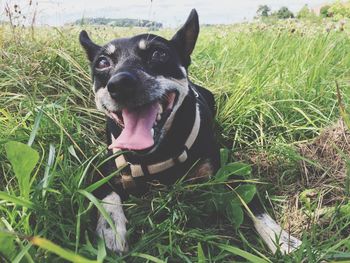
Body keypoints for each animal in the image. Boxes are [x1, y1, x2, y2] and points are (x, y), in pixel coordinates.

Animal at [78, 8, 300, 256]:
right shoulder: (102, 169)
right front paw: (111, 229)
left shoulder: (225, 169)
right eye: (102, 62)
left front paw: (281, 239)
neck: (157, 153)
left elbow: (252, 203)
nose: (120, 84)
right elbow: (107, 195)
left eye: (158, 53)